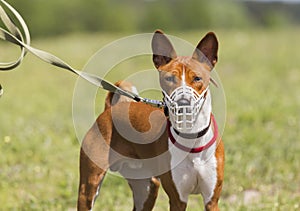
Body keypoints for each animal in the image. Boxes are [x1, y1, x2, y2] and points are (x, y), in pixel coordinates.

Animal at [78, 30, 225, 210]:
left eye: (197, 78)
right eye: (169, 79)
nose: (183, 102)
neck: (192, 138)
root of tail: (109, 109)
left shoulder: (212, 200)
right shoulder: (178, 199)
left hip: (147, 188)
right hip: (89, 188)